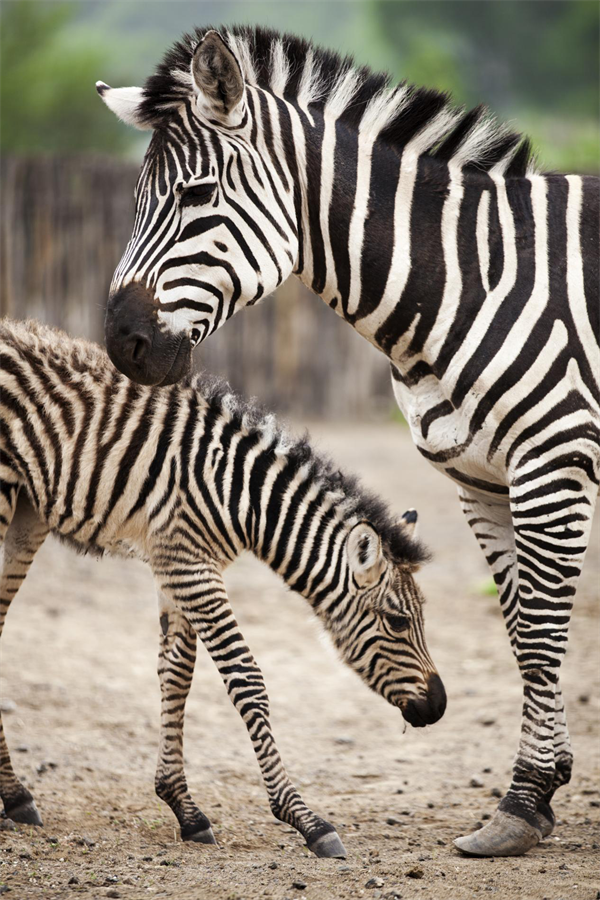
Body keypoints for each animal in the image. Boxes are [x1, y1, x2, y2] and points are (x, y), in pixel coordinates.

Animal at [0, 320, 442, 856]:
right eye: (397, 622)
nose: (439, 706)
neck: (238, 493)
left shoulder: (178, 562)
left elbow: (176, 674)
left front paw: (184, 809)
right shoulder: (189, 563)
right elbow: (247, 679)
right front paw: (305, 819)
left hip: (28, 512)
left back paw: (15, 796)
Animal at [98, 24, 600, 856]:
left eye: (196, 196)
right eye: (136, 202)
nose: (121, 345)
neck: (471, 279)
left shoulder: (552, 463)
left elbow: (540, 630)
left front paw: (523, 802)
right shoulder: (481, 477)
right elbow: (521, 623)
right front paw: (548, 785)